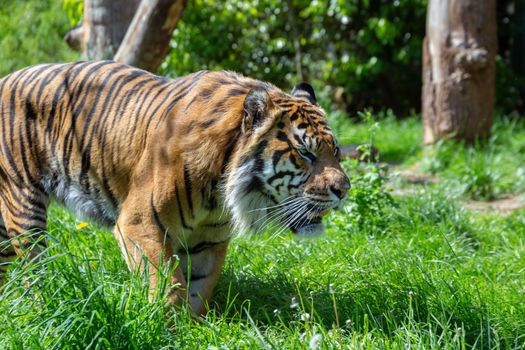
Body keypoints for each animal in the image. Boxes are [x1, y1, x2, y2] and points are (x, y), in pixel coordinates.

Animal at [1, 61, 352, 316]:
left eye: (335, 151)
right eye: (305, 153)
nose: (344, 189)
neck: (219, 193)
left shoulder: (209, 240)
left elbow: (199, 287)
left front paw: (194, 328)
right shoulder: (140, 224)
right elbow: (166, 283)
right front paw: (167, 326)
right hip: (24, 204)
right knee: (33, 267)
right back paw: (42, 305)